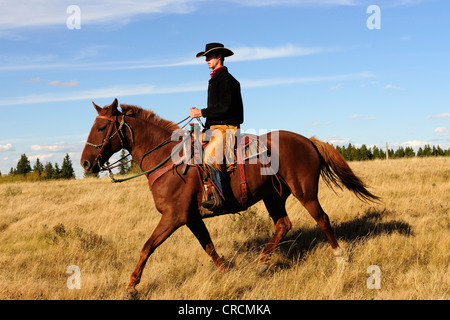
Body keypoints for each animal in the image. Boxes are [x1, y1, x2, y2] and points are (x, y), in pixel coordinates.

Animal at [81, 99, 380, 298]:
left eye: (100, 129)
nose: (85, 163)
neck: (168, 159)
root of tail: (308, 140)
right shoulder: (191, 218)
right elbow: (209, 247)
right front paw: (227, 274)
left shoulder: (174, 217)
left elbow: (147, 247)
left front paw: (131, 286)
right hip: (274, 197)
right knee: (283, 225)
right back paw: (261, 264)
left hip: (305, 193)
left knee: (322, 219)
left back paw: (340, 259)